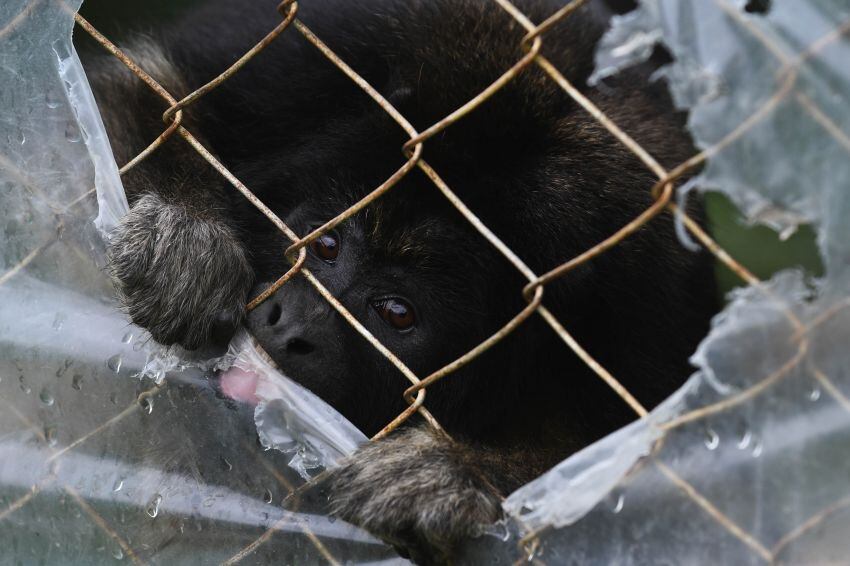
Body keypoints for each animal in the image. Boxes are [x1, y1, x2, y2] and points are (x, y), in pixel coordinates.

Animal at [81, 1, 716, 564]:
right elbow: (150, 91)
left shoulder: (648, 302)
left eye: (397, 312)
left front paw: (457, 473)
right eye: (327, 247)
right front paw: (188, 241)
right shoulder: (323, 53)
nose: (292, 328)